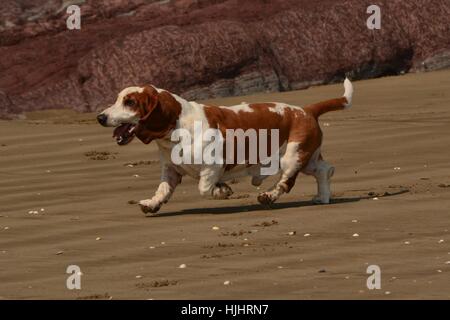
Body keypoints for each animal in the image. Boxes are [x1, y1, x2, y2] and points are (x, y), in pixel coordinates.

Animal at [96, 79, 354, 216]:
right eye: (118, 99)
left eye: (130, 102)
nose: (100, 117)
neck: (178, 127)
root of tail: (307, 110)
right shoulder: (170, 170)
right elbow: (163, 189)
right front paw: (152, 203)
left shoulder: (212, 166)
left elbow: (203, 187)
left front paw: (222, 190)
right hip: (306, 158)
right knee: (325, 170)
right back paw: (322, 197)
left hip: (291, 158)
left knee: (286, 182)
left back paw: (269, 195)